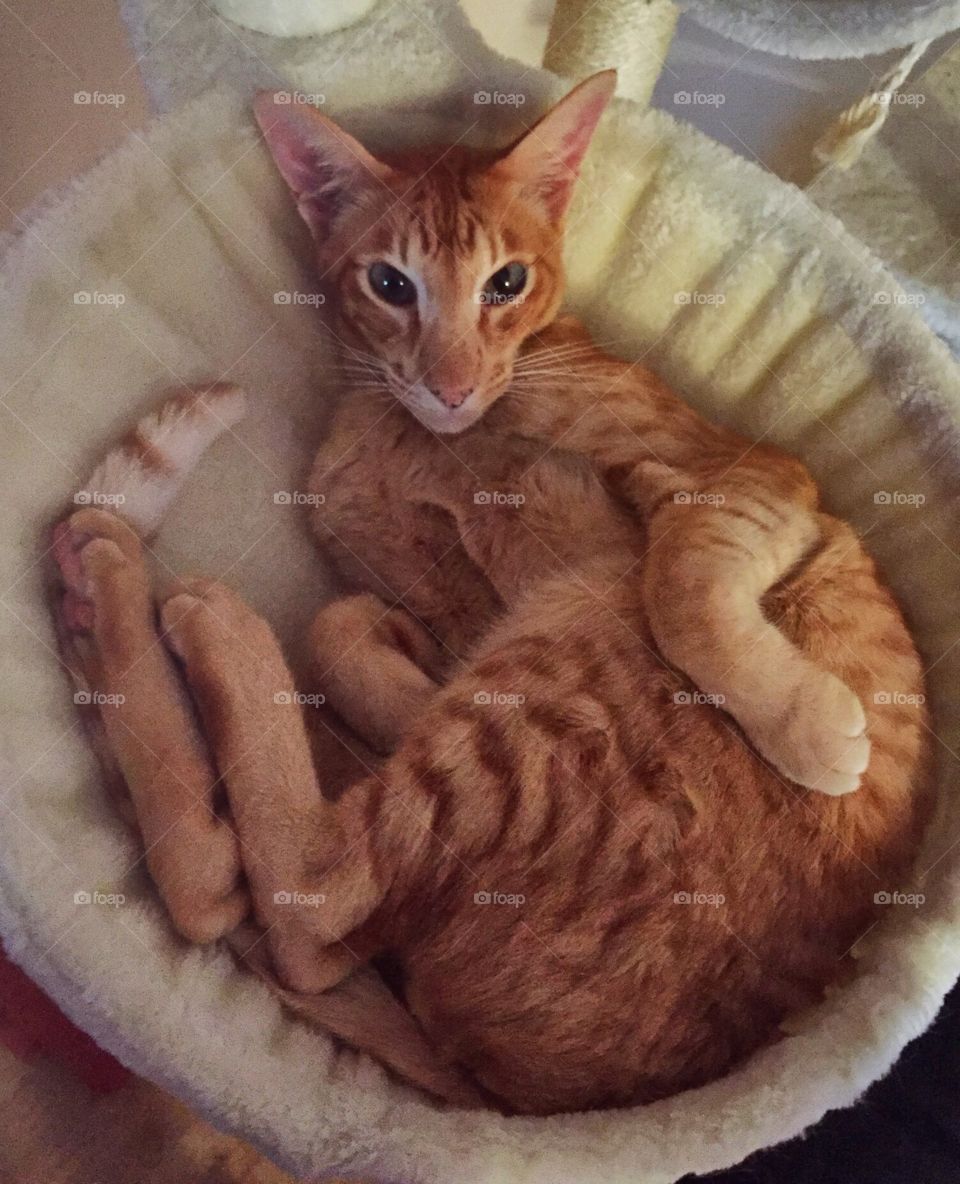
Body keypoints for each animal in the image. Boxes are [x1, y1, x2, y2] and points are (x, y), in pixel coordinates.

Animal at [52, 76, 932, 1117]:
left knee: (290, 899)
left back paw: (184, 609)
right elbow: (350, 619)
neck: (424, 437)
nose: (450, 383)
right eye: (392, 285)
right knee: (253, 897)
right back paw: (118, 591)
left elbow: (682, 584)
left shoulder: (748, 479)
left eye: (505, 285)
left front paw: (807, 725)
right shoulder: (444, 594)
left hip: (569, 646)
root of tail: (507, 1093)